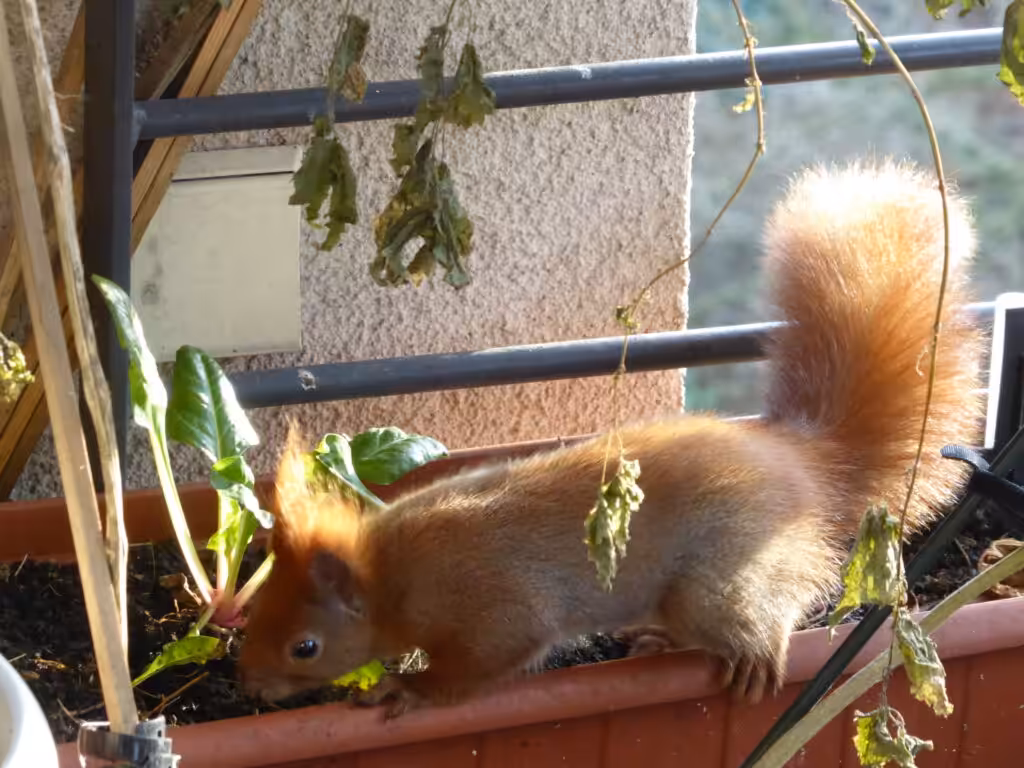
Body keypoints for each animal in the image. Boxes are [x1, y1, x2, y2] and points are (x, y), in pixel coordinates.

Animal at [237, 159, 986, 719]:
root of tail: (799, 463)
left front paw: (408, 690)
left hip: (722, 579)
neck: (391, 571)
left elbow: (483, 666)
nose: (255, 687)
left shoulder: (493, 609)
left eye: (305, 647)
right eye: (251, 608)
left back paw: (753, 654)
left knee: (768, 611)